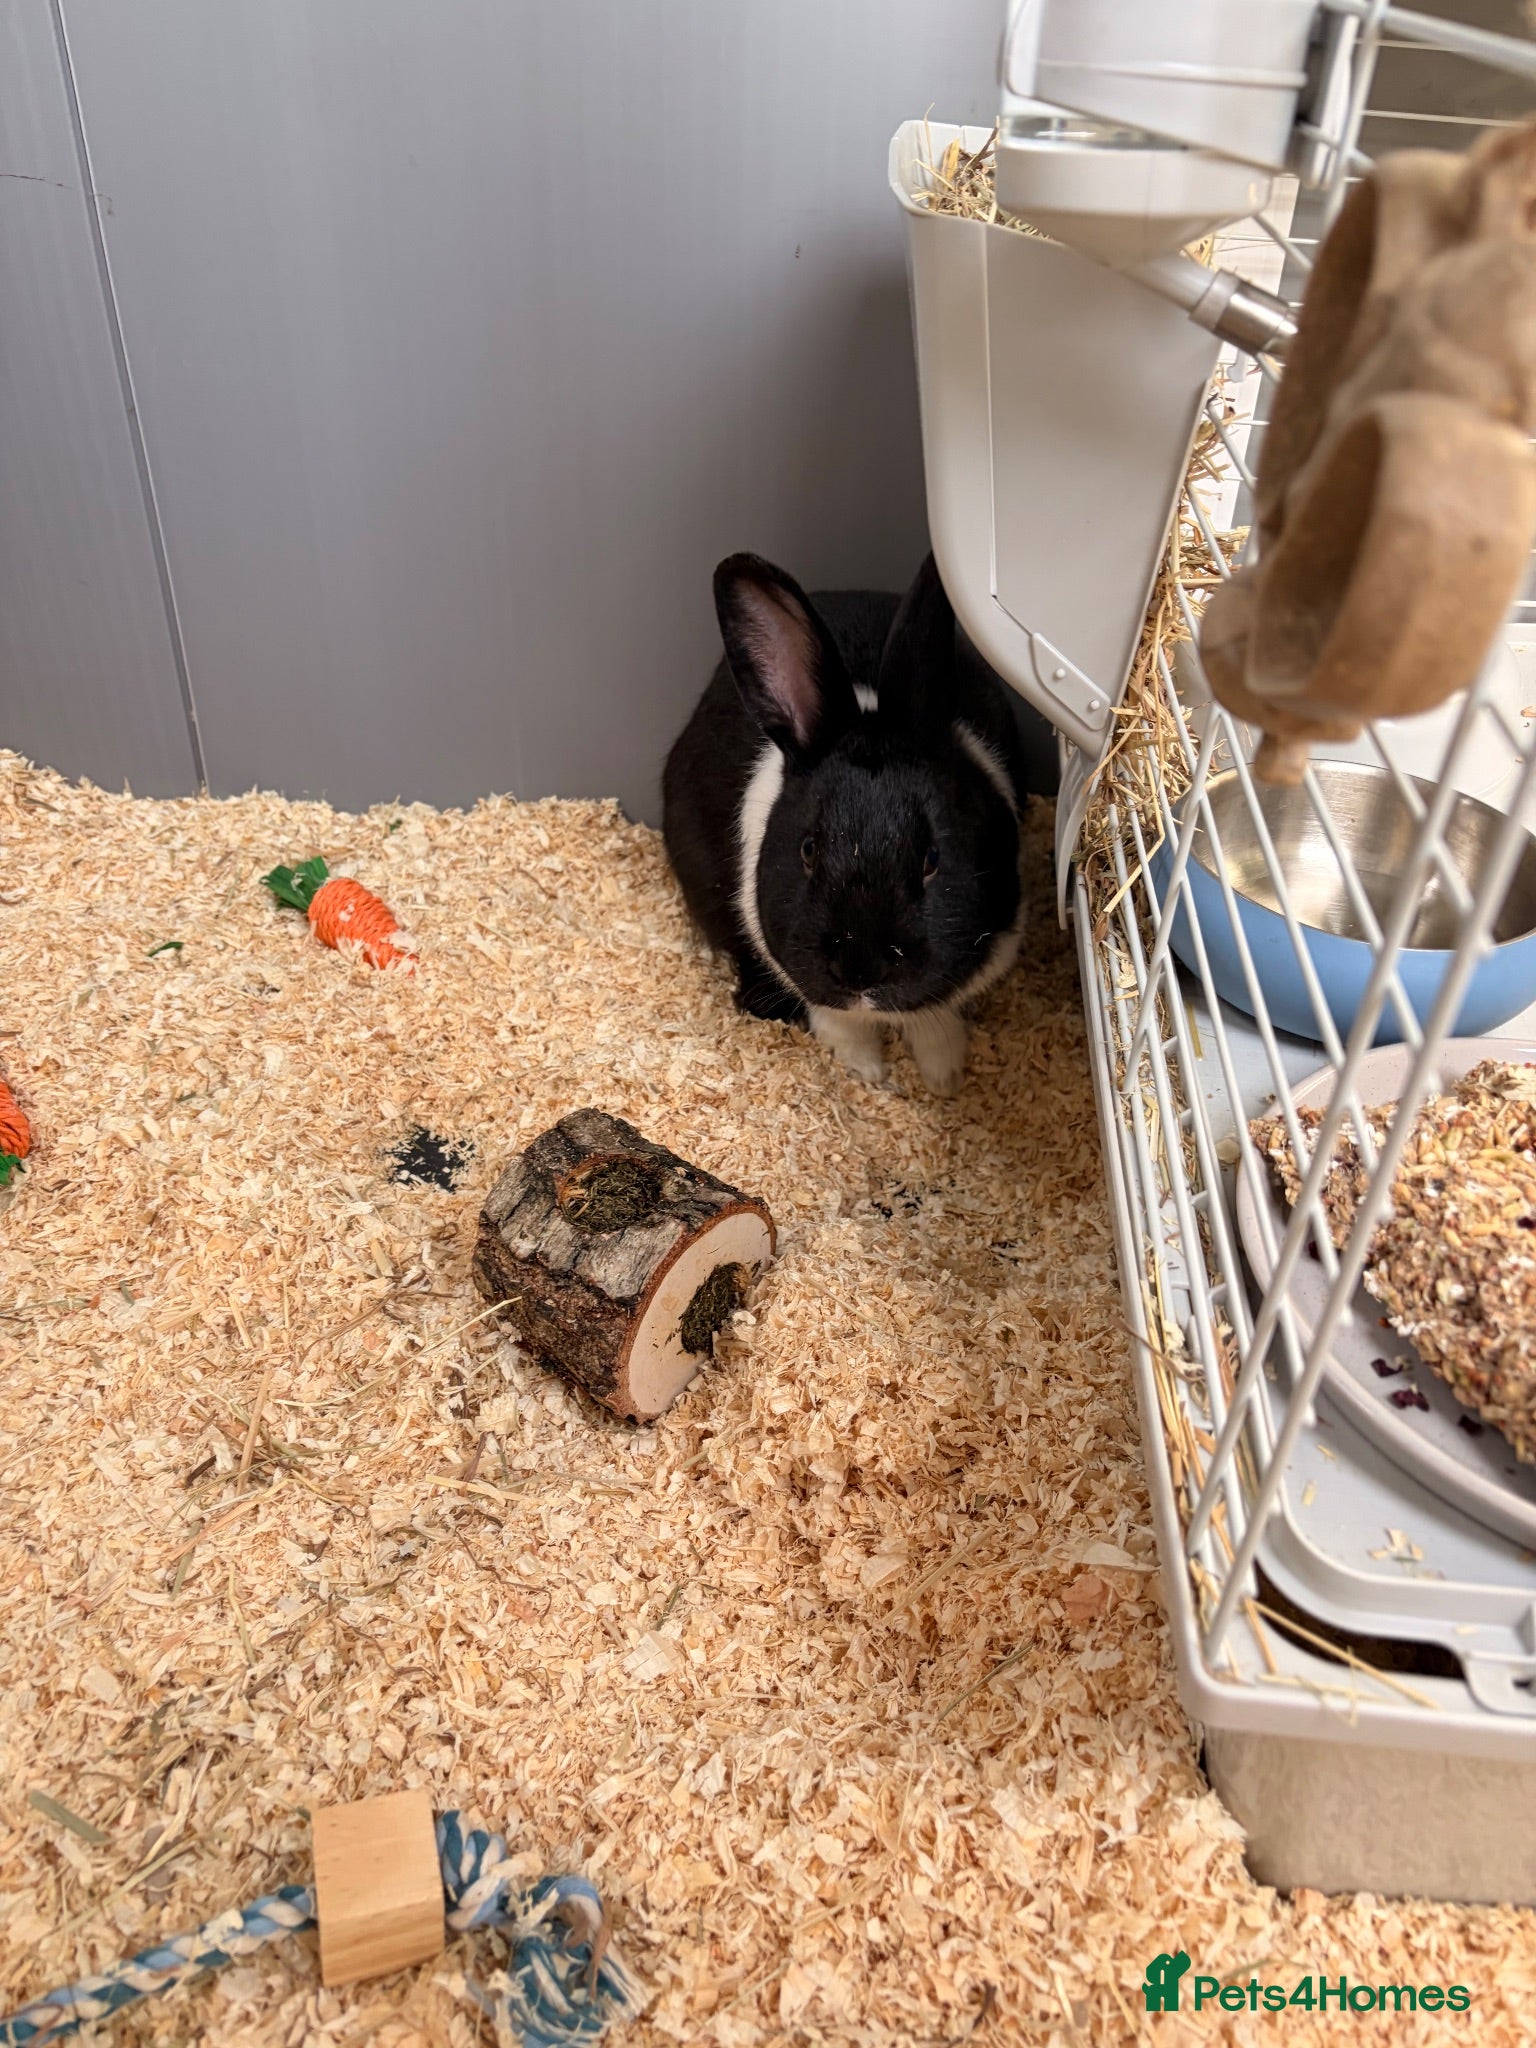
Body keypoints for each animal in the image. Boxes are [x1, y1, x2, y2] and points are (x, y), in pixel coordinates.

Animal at [662, 550, 1027, 1094]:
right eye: (808, 850)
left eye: (932, 858)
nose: (861, 972)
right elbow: (841, 1024)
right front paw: (867, 1074)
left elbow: (933, 1020)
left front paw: (944, 1078)